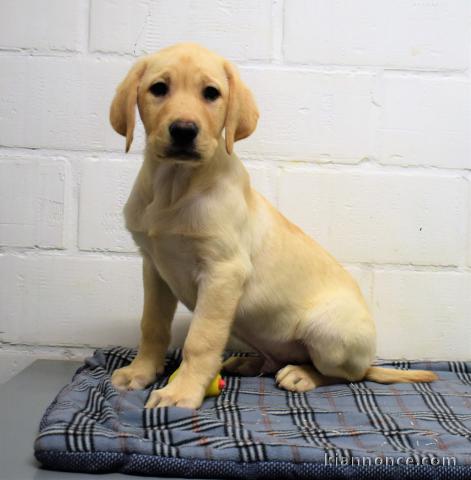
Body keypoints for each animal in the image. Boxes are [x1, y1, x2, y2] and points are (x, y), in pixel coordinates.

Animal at [109, 44, 436, 408]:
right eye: (158, 89)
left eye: (211, 93)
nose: (183, 130)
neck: (174, 187)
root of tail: (370, 360)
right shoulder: (154, 267)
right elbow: (152, 326)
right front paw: (140, 372)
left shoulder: (223, 271)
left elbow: (201, 339)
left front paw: (182, 392)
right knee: (281, 360)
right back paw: (249, 362)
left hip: (326, 330)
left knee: (347, 375)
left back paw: (302, 374)